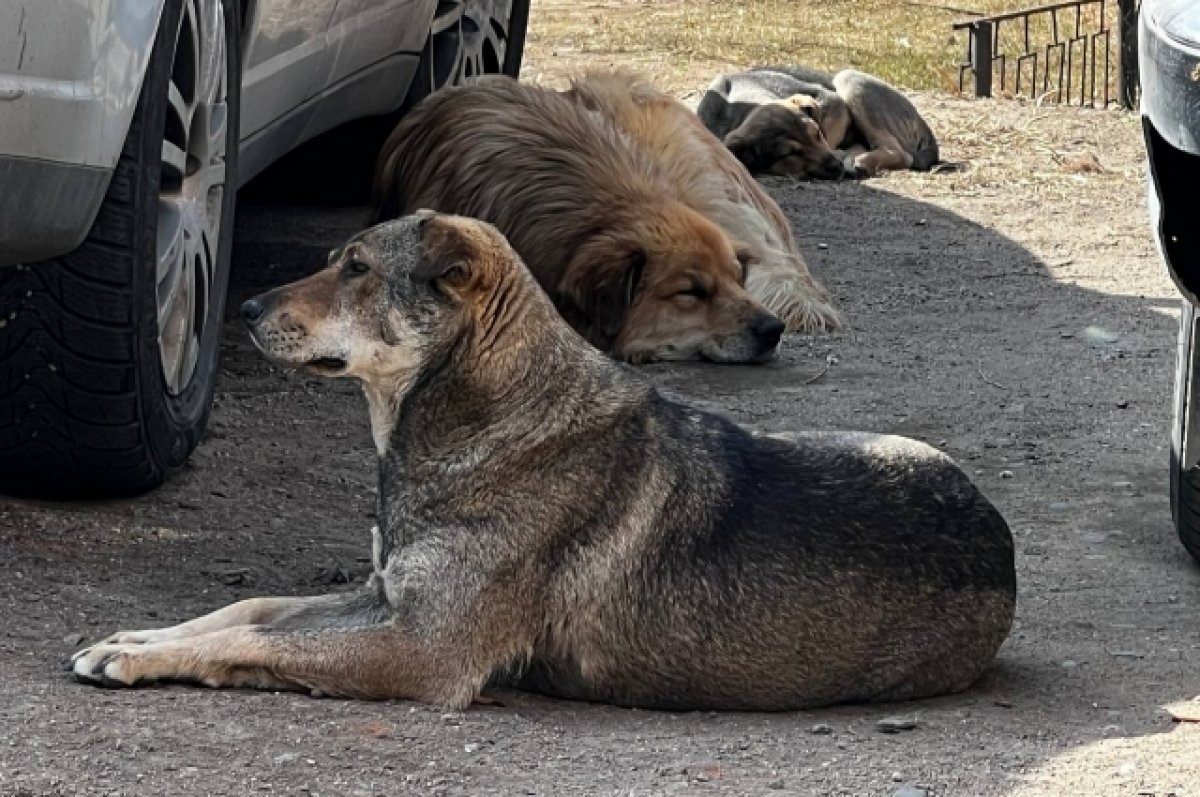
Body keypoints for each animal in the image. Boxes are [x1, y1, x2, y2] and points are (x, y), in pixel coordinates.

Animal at [70, 210, 1017, 710]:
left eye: (358, 268)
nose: (246, 306)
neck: (484, 423)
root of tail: (1002, 544)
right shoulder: (384, 597)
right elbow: (251, 611)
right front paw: (136, 636)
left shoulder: (422, 651)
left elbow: (260, 643)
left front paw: (140, 659)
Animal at [700, 66, 940, 178]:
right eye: (790, 154)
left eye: (816, 133)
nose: (836, 167)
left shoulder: (832, 102)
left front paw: (844, 155)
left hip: (847, 78)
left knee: (900, 153)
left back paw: (860, 160)